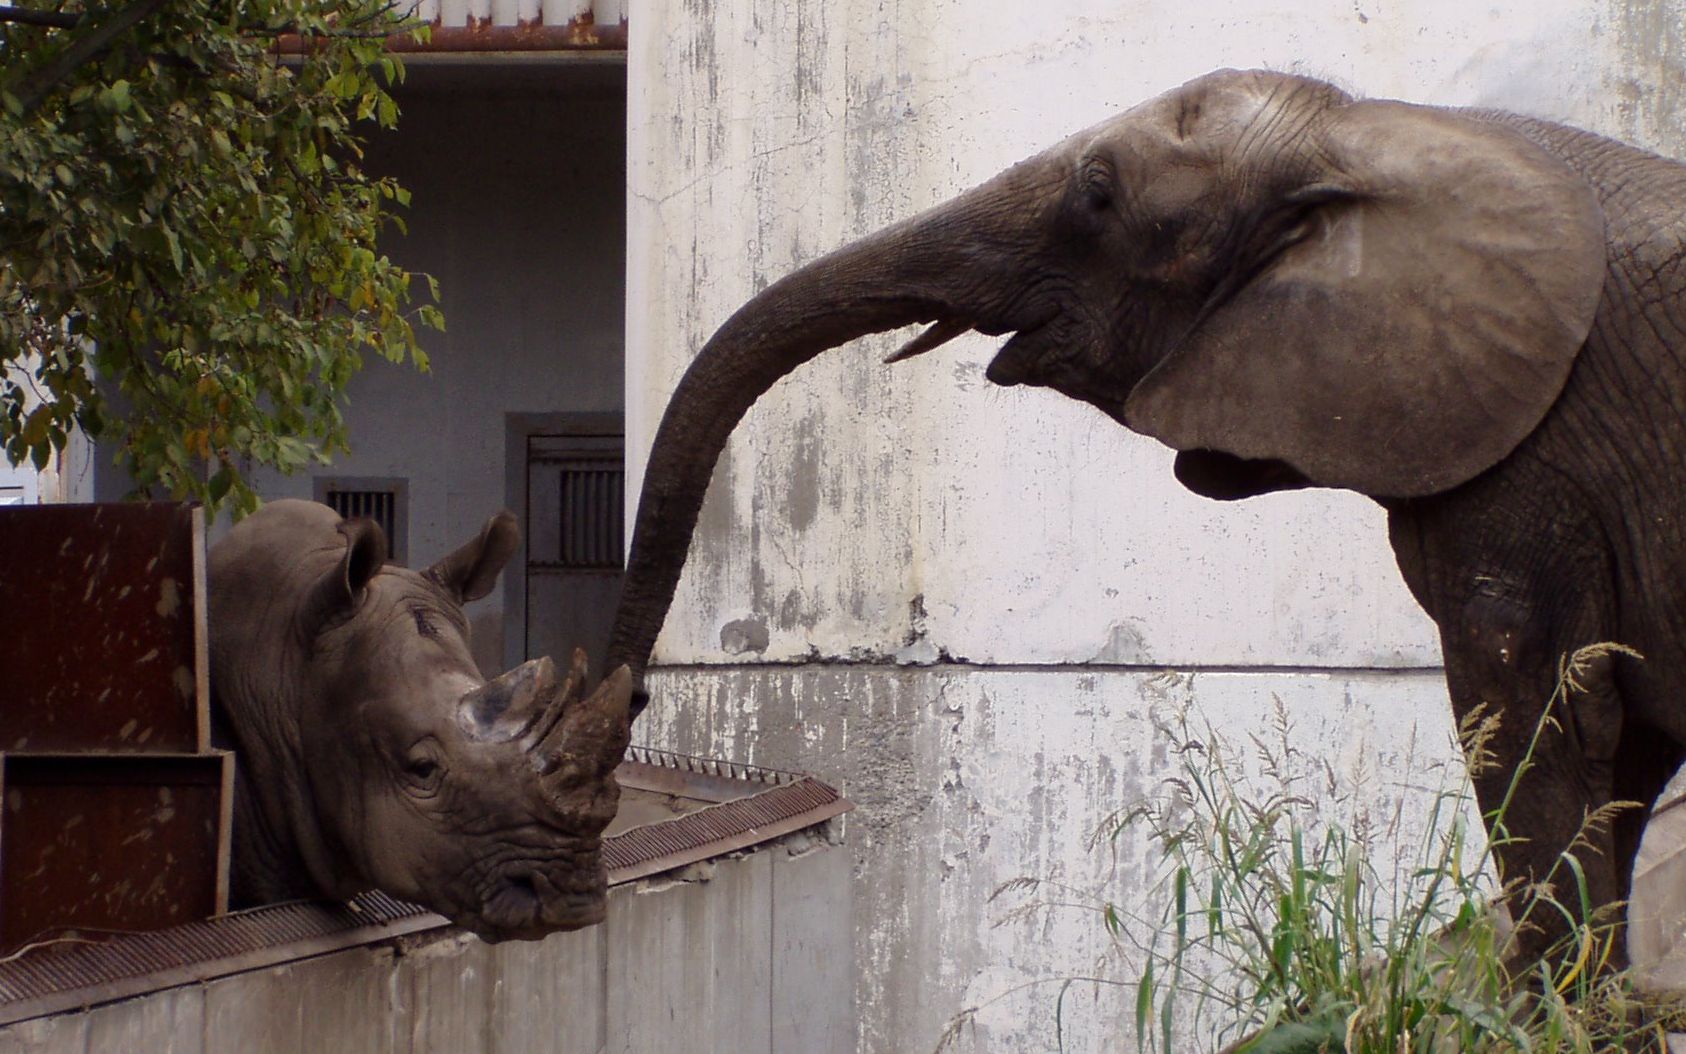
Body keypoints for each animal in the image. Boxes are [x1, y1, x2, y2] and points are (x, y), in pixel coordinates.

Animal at [606, 67, 1686, 964]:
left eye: (1096, 191)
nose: (621, 721)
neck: (1368, 135)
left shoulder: (1536, 459)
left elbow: (1539, 730)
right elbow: (1613, 760)